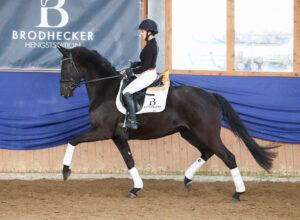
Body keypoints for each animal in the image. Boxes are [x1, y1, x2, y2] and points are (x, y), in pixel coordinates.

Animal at [57, 46, 276, 201]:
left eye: (65, 66)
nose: (63, 93)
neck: (106, 90)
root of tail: (211, 95)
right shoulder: (118, 136)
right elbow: (129, 161)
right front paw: (136, 188)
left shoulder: (103, 131)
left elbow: (73, 140)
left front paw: (66, 171)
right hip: (188, 133)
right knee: (207, 152)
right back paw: (187, 179)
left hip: (207, 133)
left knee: (228, 156)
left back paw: (238, 193)